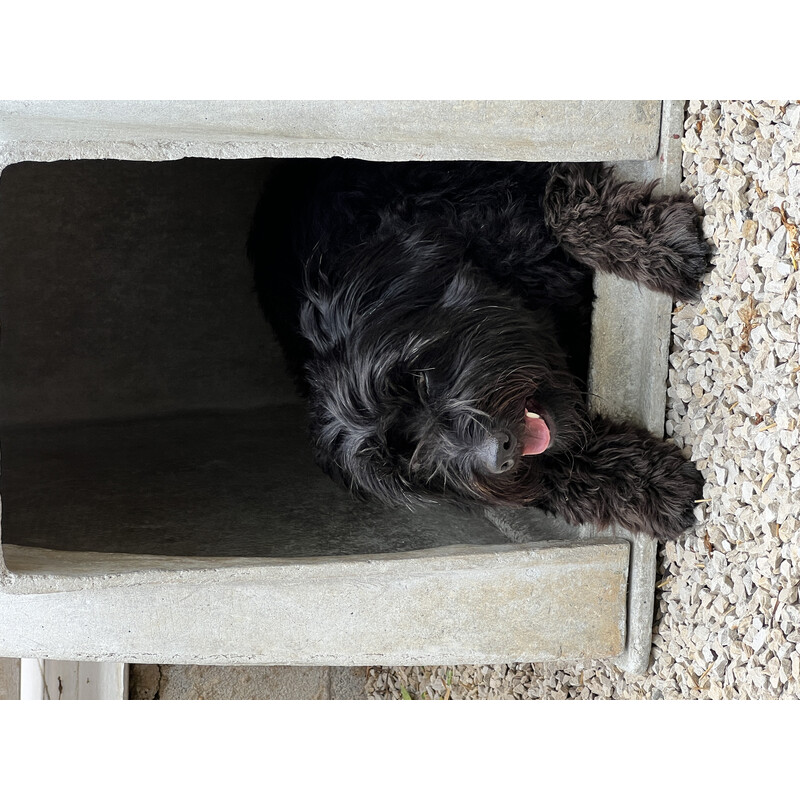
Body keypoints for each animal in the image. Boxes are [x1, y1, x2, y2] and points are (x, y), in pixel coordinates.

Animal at [248, 159, 708, 540]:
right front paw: (653, 488)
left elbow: (558, 203)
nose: (497, 455)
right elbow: (555, 471)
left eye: (415, 378)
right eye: (408, 452)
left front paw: (661, 247)